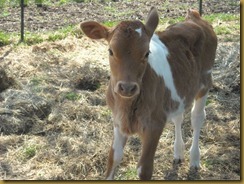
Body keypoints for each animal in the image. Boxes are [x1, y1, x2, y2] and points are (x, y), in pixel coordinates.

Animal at [80, 7, 217, 180]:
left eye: (146, 53)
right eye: (111, 51)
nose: (127, 87)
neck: (127, 105)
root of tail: (195, 18)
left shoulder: (154, 125)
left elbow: (144, 169)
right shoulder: (118, 120)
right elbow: (113, 158)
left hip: (205, 81)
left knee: (197, 118)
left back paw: (194, 159)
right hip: (178, 92)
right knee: (178, 116)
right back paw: (178, 153)